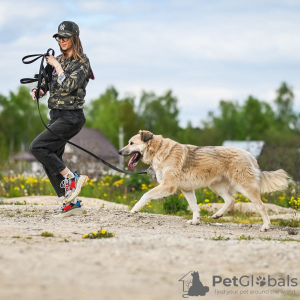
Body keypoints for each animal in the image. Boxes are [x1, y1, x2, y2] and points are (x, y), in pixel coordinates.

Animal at [118, 130, 290, 231]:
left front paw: (135, 209)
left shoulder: (168, 186)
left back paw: (266, 226)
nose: (119, 152)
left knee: (261, 206)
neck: (159, 150)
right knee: (231, 200)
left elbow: (145, 195)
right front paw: (195, 221)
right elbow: (195, 207)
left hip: (246, 187)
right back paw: (217, 215)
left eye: (131, 143)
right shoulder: (186, 189)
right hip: (216, 186)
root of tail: (250, 155)